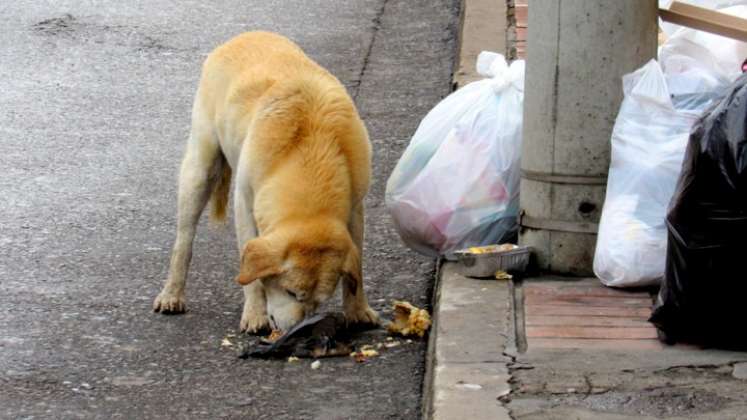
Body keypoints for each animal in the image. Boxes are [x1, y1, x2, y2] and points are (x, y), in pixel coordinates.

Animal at [152, 31, 376, 334]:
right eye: (291, 292)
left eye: (318, 302)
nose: (296, 332)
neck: (309, 152)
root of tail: (245, 35)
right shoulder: (245, 205)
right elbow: (253, 276)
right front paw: (255, 313)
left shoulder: (355, 208)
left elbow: (358, 267)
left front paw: (357, 310)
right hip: (200, 170)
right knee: (184, 240)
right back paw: (172, 293)